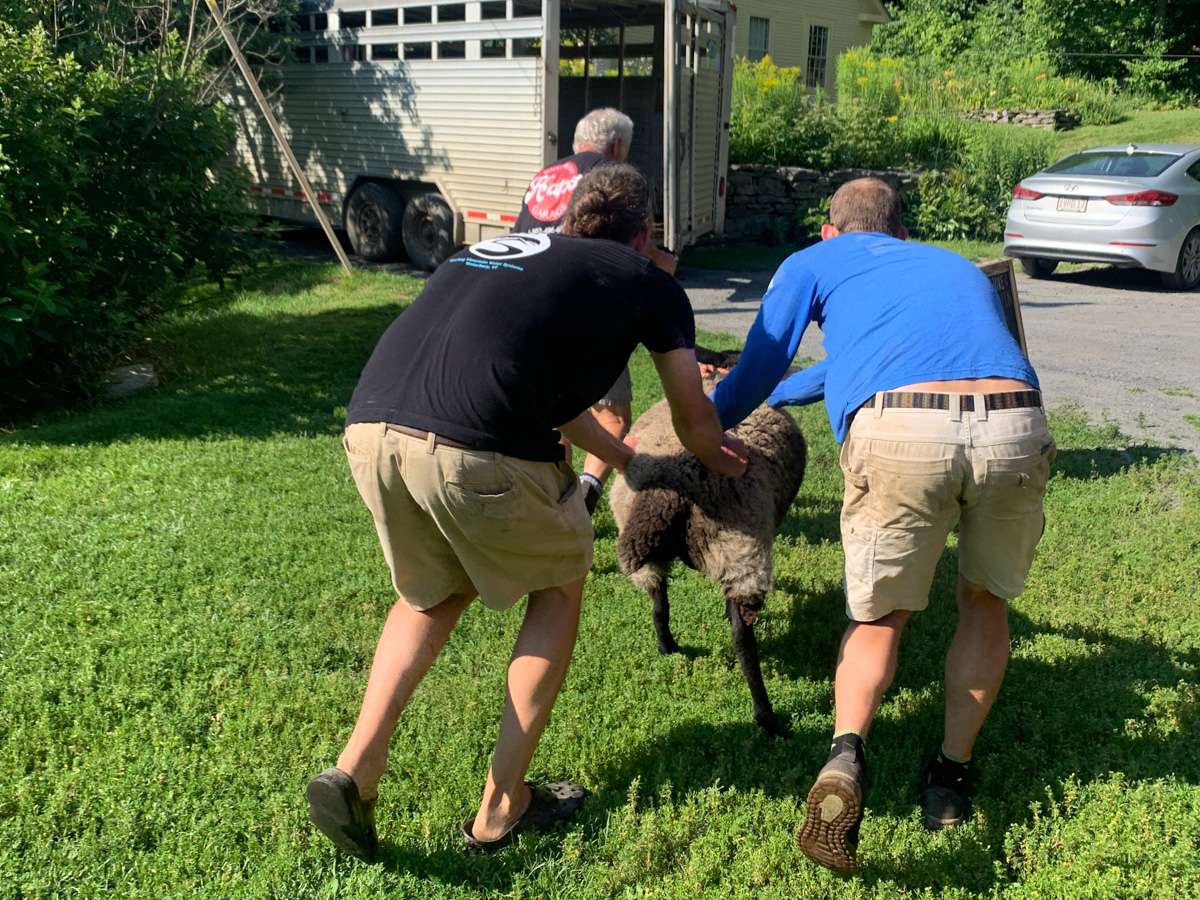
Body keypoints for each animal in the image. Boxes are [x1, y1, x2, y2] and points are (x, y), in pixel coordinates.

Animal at [609, 348, 806, 734]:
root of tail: (666, 493)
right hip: (740, 549)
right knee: (742, 638)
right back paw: (766, 718)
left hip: (653, 558)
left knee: (658, 604)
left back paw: (667, 647)